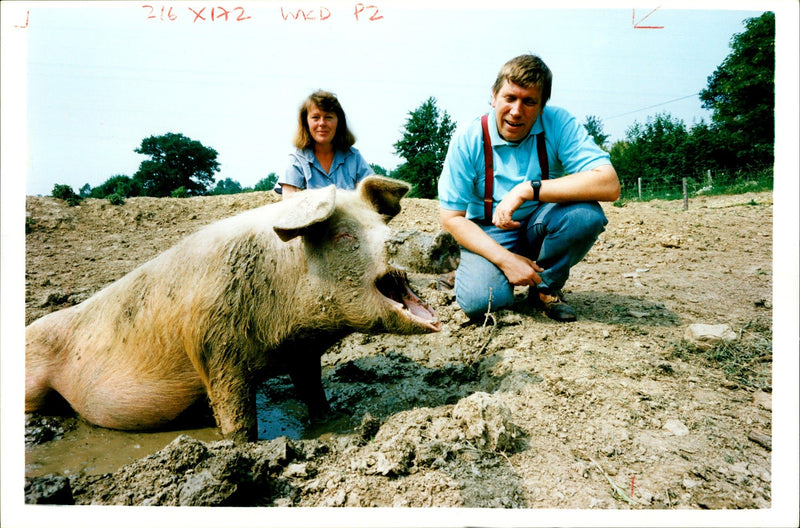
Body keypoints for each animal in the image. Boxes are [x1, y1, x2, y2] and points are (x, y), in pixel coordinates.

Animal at [26, 176, 438, 442]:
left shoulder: (302, 352)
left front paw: (329, 420)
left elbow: (312, 390)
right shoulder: (213, 348)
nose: (438, 239)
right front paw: (241, 447)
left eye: (381, 222)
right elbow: (236, 415)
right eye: (344, 235)